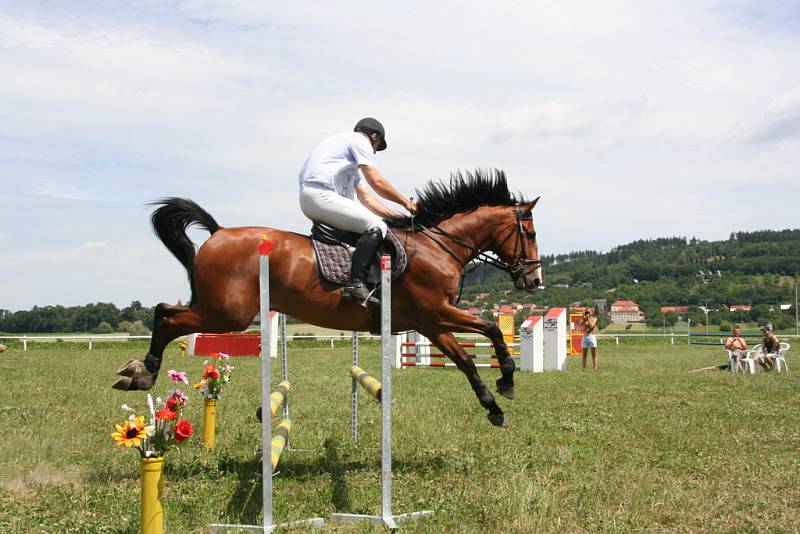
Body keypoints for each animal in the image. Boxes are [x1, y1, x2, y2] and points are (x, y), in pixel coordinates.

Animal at [114, 170, 544, 430]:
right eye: (531, 232)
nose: (535, 280)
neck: (438, 246)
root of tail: (218, 232)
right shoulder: (436, 313)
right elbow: (489, 330)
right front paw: (506, 381)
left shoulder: (432, 323)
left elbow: (467, 360)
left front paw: (494, 405)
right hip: (228, 314)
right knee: (167, 316)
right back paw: (143, 373)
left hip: (221, 311)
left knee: (166, 312)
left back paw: (137, 372)